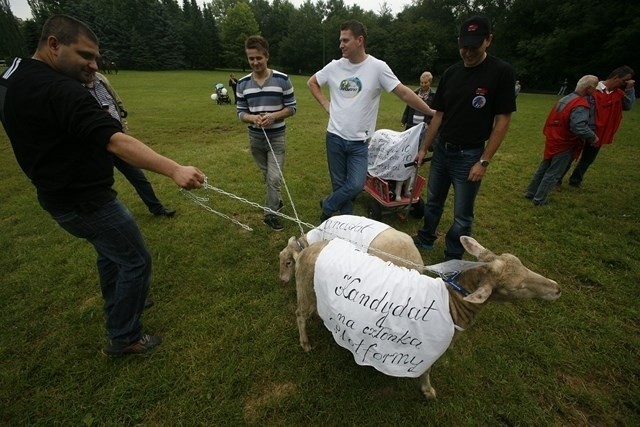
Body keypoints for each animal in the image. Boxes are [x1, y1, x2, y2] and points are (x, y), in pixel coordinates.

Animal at [292, 236, 556, 400]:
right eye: (516, 287)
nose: (557, 288)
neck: (452, 304)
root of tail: (304, 250)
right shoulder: (429, 349)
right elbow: (427, 370)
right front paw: (428, 391)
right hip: (306, 290)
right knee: (299, 315)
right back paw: (305, 343)